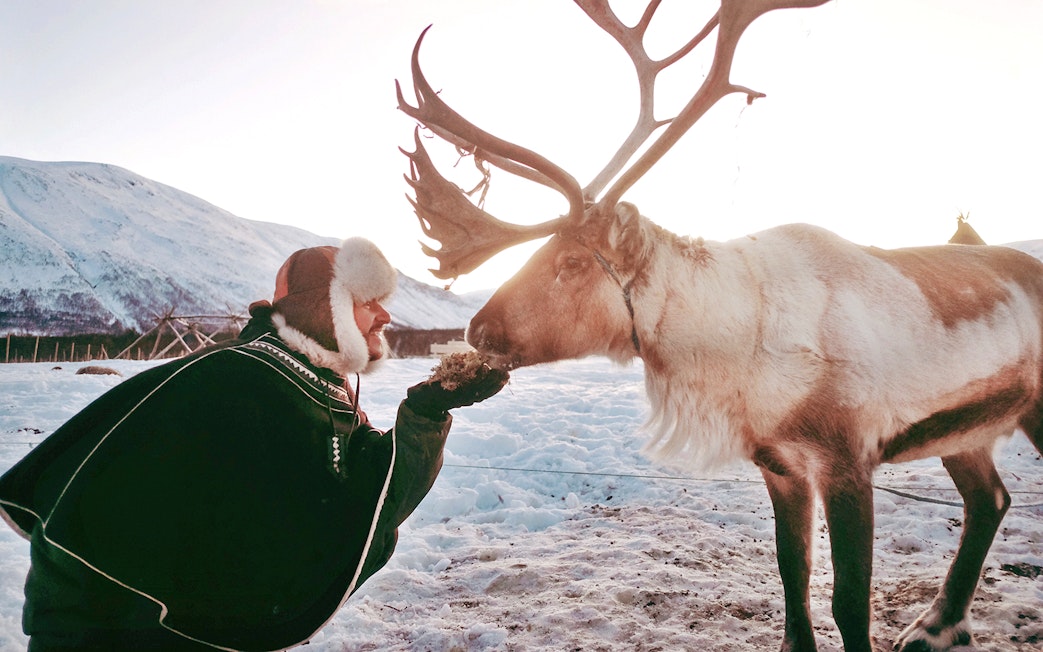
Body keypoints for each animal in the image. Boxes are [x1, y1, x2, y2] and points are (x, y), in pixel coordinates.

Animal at [396, 2, 1043, 650]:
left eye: (573, 262)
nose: (477, 329)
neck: (742, 353)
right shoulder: (778, 462)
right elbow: (793, 577)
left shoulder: (849, 456)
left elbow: (849, 602)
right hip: (966, 429)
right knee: (991, 499)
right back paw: (937, 624)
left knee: (990, 499)